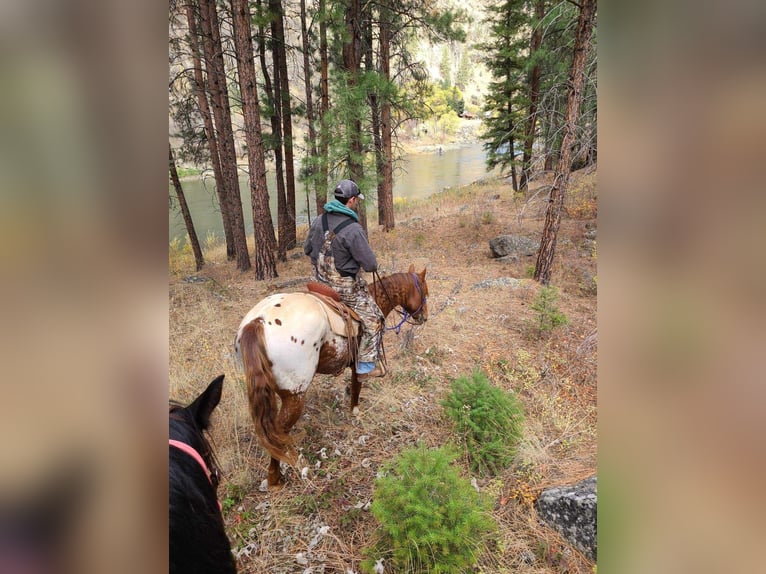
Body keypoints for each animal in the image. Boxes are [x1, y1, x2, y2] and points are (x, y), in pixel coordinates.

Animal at [236, 268, 426, 488]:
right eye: (424, 291)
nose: (424, 317)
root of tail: (257, 322)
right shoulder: (359, 363)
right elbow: (357, 386)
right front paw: (355, 413)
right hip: (295, 395)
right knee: (278, 432)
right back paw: (275, 477)